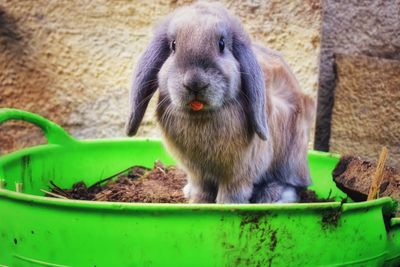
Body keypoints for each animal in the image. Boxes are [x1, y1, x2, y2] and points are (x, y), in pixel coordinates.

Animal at [126, 2, 314, 204]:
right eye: (173, 45)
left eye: (222, 44)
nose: (195, 82)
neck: (201, 116)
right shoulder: (198, 173)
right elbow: (202, 189)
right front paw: (198, 202)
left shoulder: (239, 173)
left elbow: (233, 191)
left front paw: (227, 205)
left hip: (291, 159)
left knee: (294, 185)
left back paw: (272, 195)